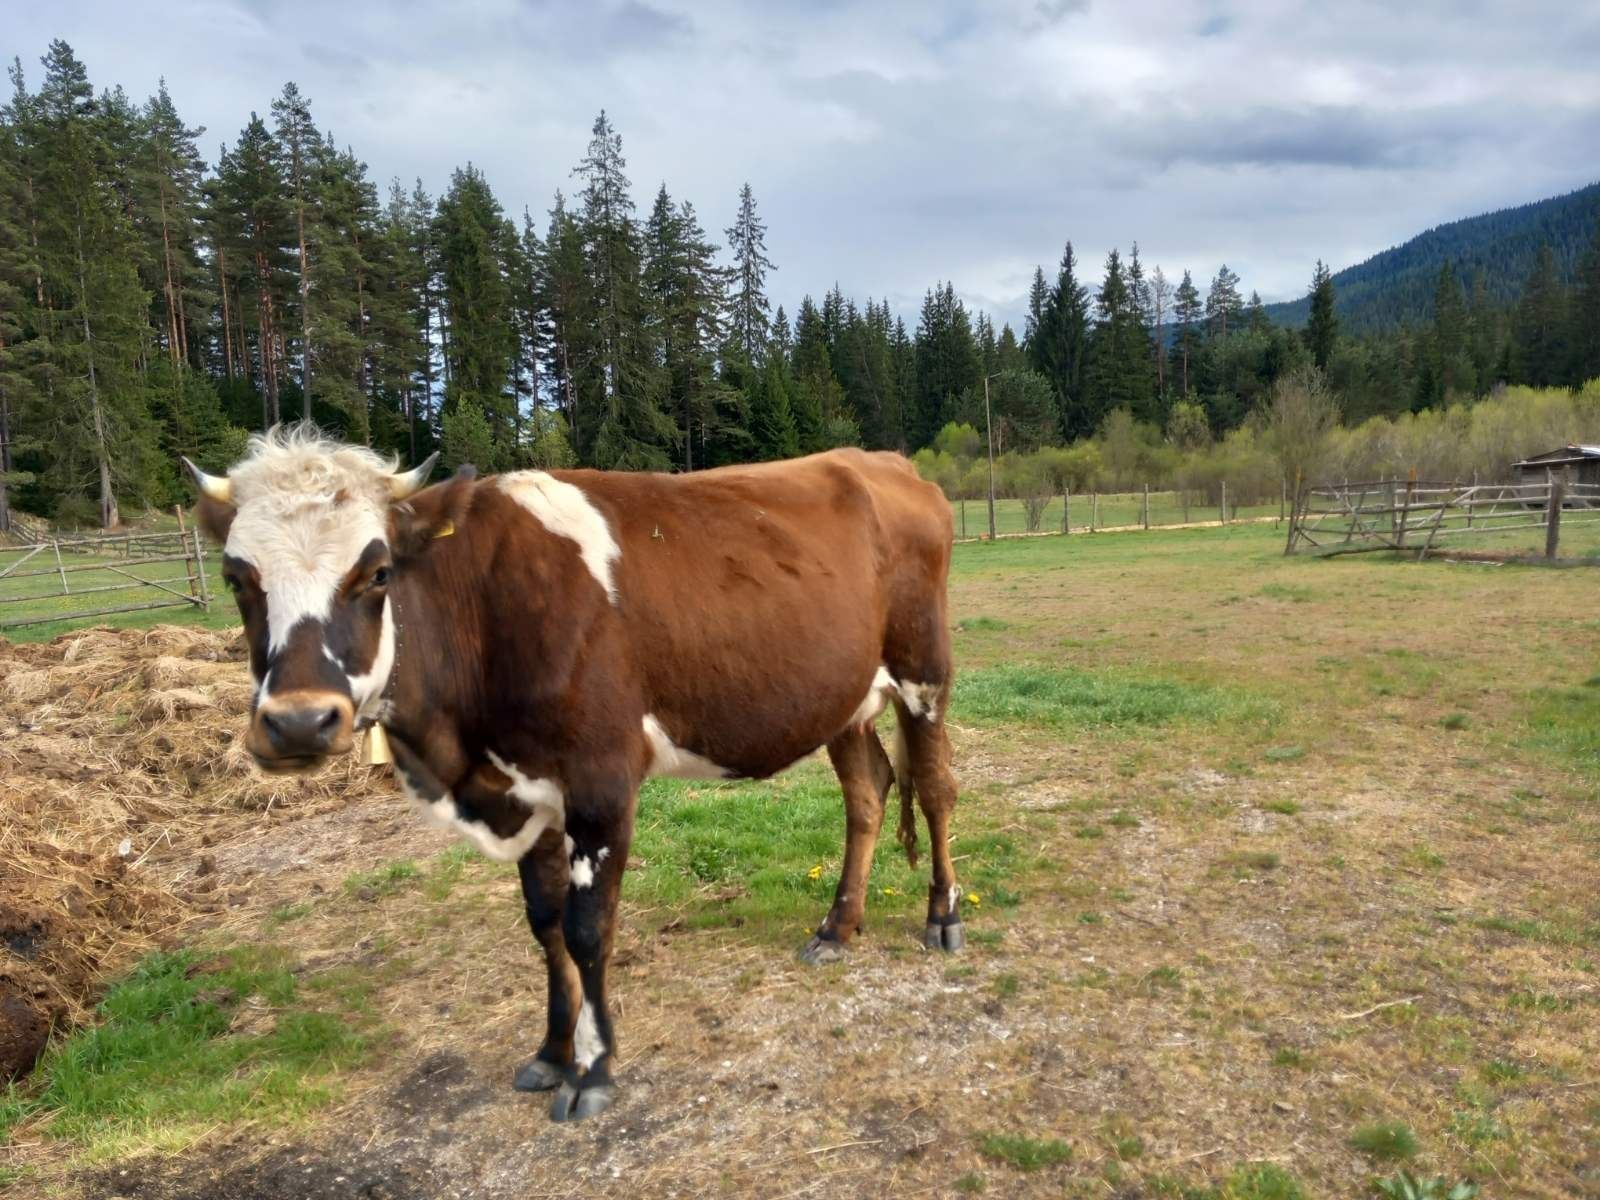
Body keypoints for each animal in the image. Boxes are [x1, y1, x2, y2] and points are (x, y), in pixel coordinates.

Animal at [187, 428, 960, 1126]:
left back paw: (943, 916)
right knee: (868, 793)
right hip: (842, 699)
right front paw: (553, 1050)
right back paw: (838, 927)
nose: (298, 723)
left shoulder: (600, 784)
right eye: (236, 579)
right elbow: (546, 925)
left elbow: (588, 929)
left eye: (376, 573)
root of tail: (880, 462)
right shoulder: (526, 792)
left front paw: (592, 1068)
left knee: (934, 788)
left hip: (923, 670)